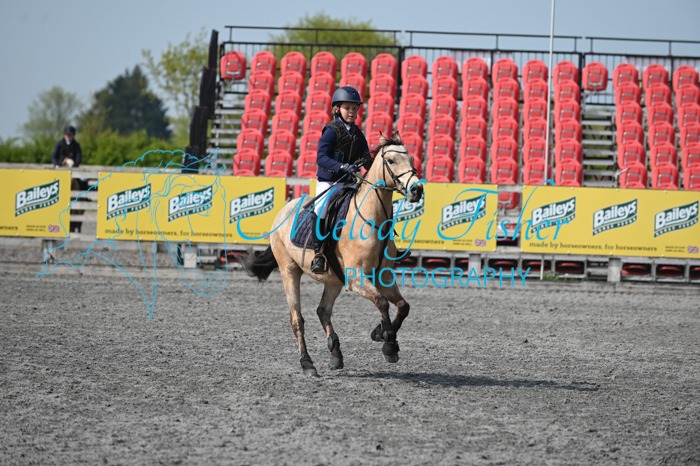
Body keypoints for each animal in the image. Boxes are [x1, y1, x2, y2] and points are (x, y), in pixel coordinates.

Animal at [242, 134, 424, 376]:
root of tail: (284, 210)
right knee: (297, 319)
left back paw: (335, 353)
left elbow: (403, 306)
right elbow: (382, 302)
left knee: (323, 311)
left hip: (334, 279)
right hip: (289, 271)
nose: (417, 190)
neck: (372, 220)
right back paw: (307, 364)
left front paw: (382, 335)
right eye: (391, 161)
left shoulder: (383, 277)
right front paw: (387, 342)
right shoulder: (357, 279)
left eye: (411, 159)